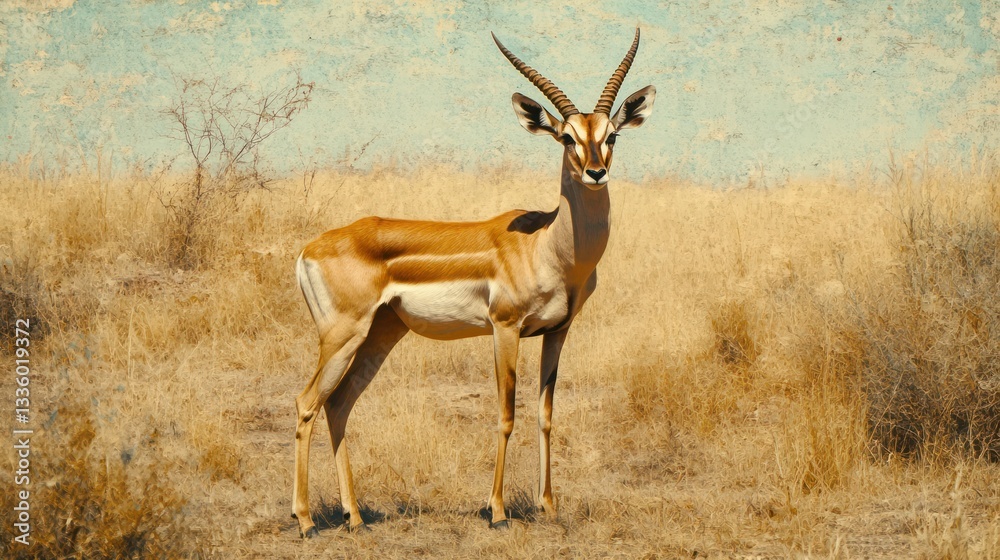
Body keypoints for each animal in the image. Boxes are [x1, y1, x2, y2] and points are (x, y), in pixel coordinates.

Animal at [291, 29, 655, 538]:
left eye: (611, 135)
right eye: (566, 137)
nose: (596, 173)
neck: (549, 245)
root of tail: (310, 248)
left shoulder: (557, 332)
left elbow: (545, 415)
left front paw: (549, 506)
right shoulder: (505, 328)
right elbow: (505, 414)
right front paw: (498, 511)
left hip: (380, 334)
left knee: (338, 403)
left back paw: (355, 517)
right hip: (342, 335)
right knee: (306, 401)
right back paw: (305, 520)